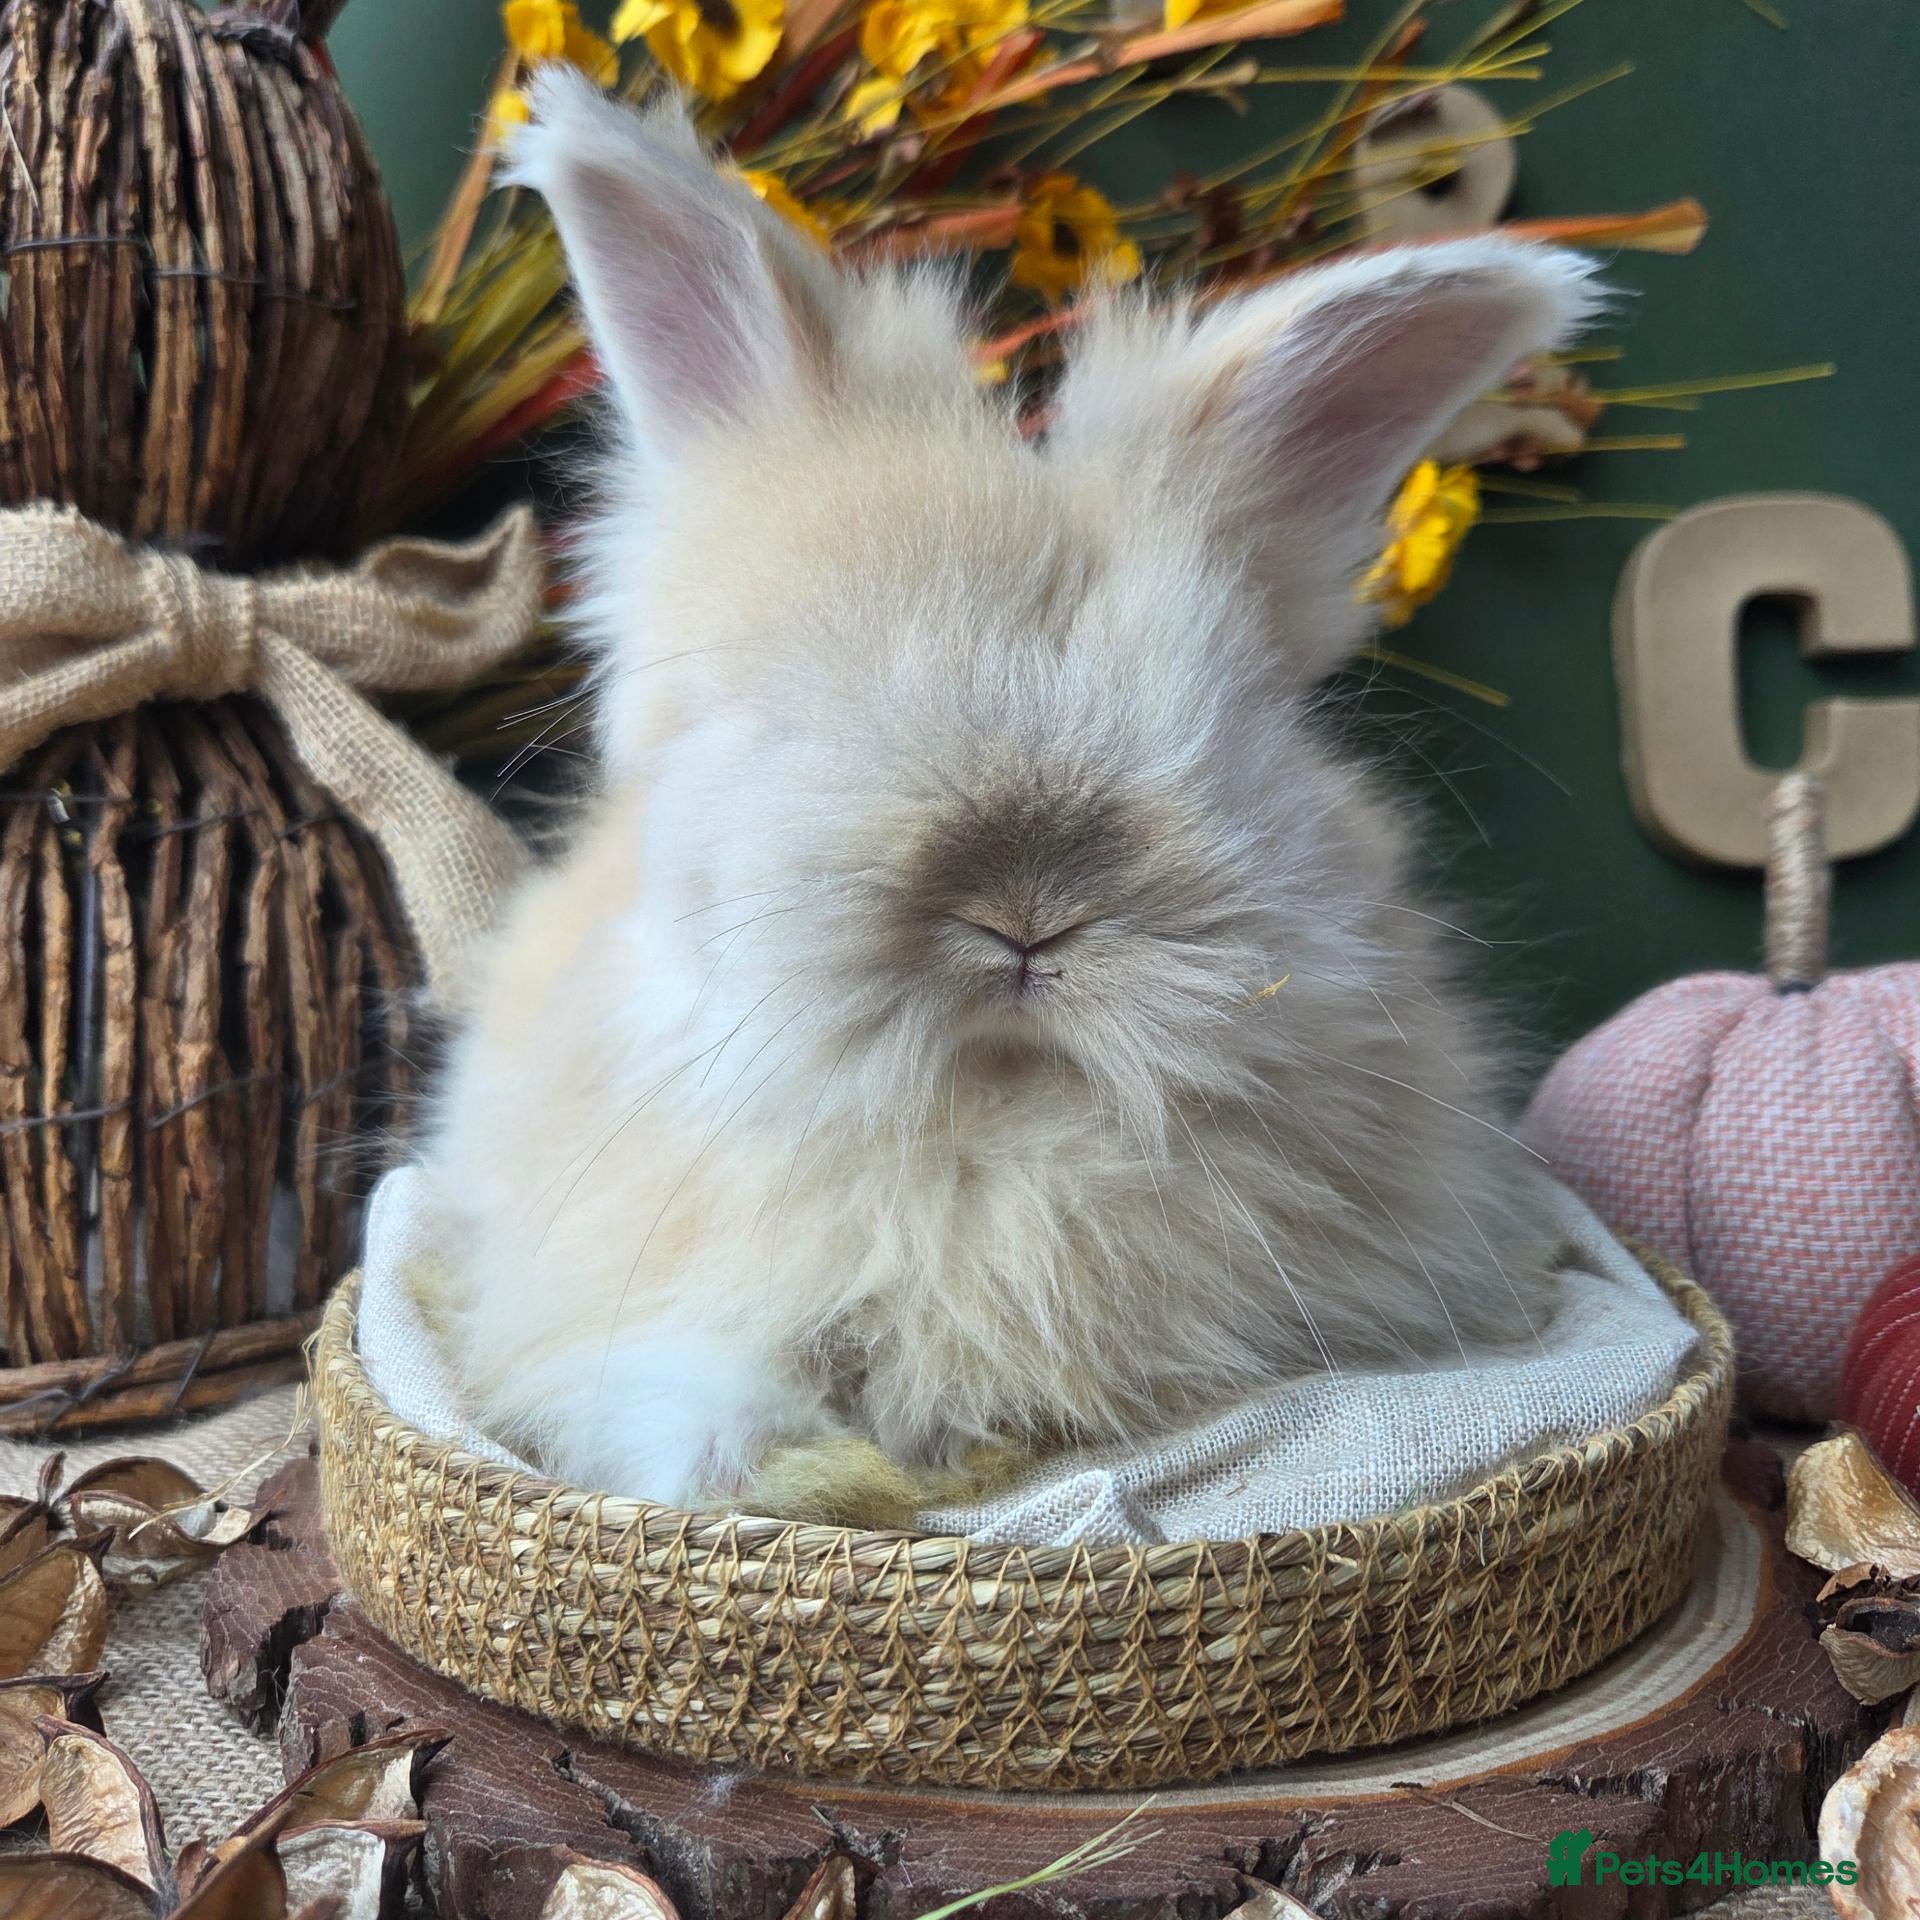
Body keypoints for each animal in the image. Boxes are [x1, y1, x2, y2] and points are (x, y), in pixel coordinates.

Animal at [412, 68, 1600, 1513]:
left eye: (1235, 723)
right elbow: (689, 1385)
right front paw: (743, 1462)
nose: (1024, 911)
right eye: (780, 715)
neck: (995, 1136)